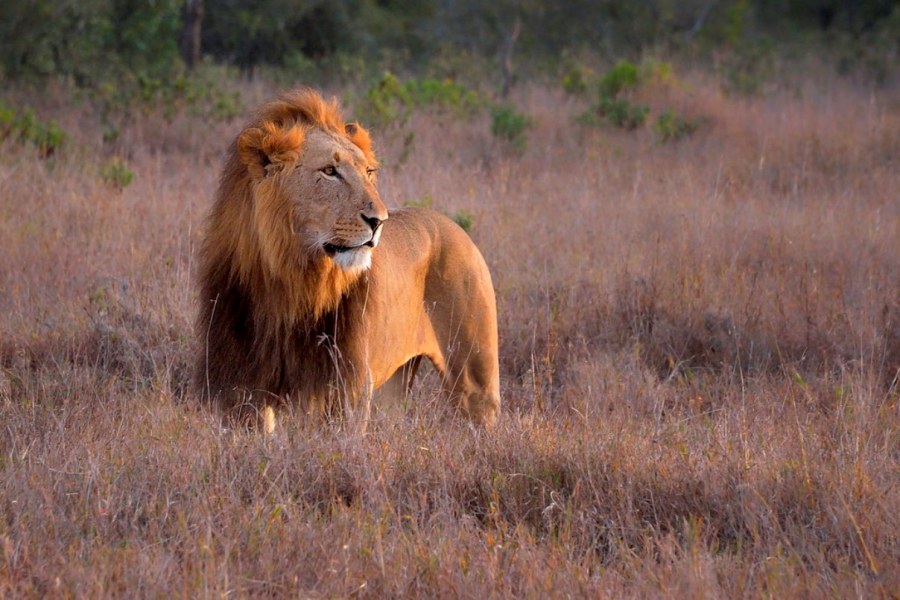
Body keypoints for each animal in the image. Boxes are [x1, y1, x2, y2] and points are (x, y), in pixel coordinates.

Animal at [195, 86, 500, 428]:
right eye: (330, 171)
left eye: (368, 172)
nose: (379, 220)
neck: (287, 281)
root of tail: (453, 225)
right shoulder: (240, 385)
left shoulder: (345, 386)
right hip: (395, 382)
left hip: (474, 378)